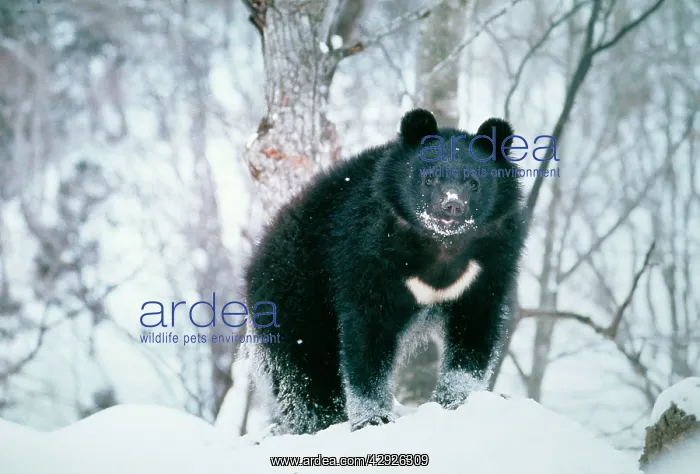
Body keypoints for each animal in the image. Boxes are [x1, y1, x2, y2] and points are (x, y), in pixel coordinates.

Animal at [244, 108, 527, 435]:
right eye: (430, 178)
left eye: (474, 183)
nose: (451, 206)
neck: (441, 245)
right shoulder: (367, 255)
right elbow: (368, 334)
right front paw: (373, 419)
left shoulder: (489, 265)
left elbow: (475, 328)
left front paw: (459, 400)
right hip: (295, 295)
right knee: (305, 367)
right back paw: (316, 421)